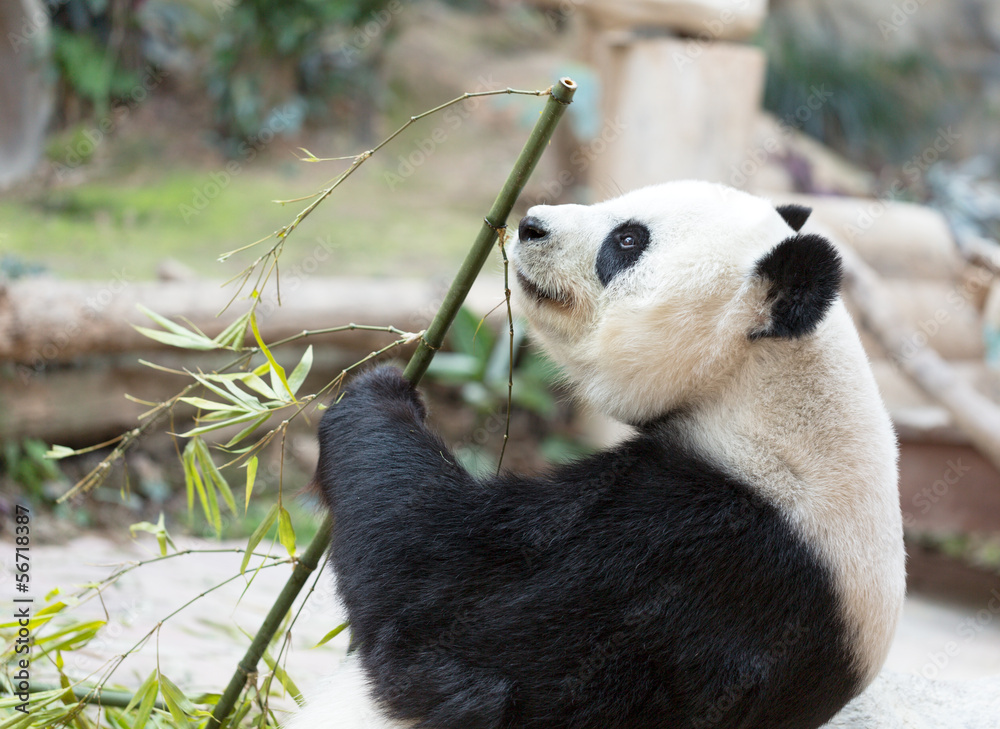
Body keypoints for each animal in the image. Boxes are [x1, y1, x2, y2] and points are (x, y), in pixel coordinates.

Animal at [288, 181, 908, 728]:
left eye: (629, 240)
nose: (531, 224)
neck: (766, 390)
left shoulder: (689, 558)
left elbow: (429, 606)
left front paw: (380, 392)